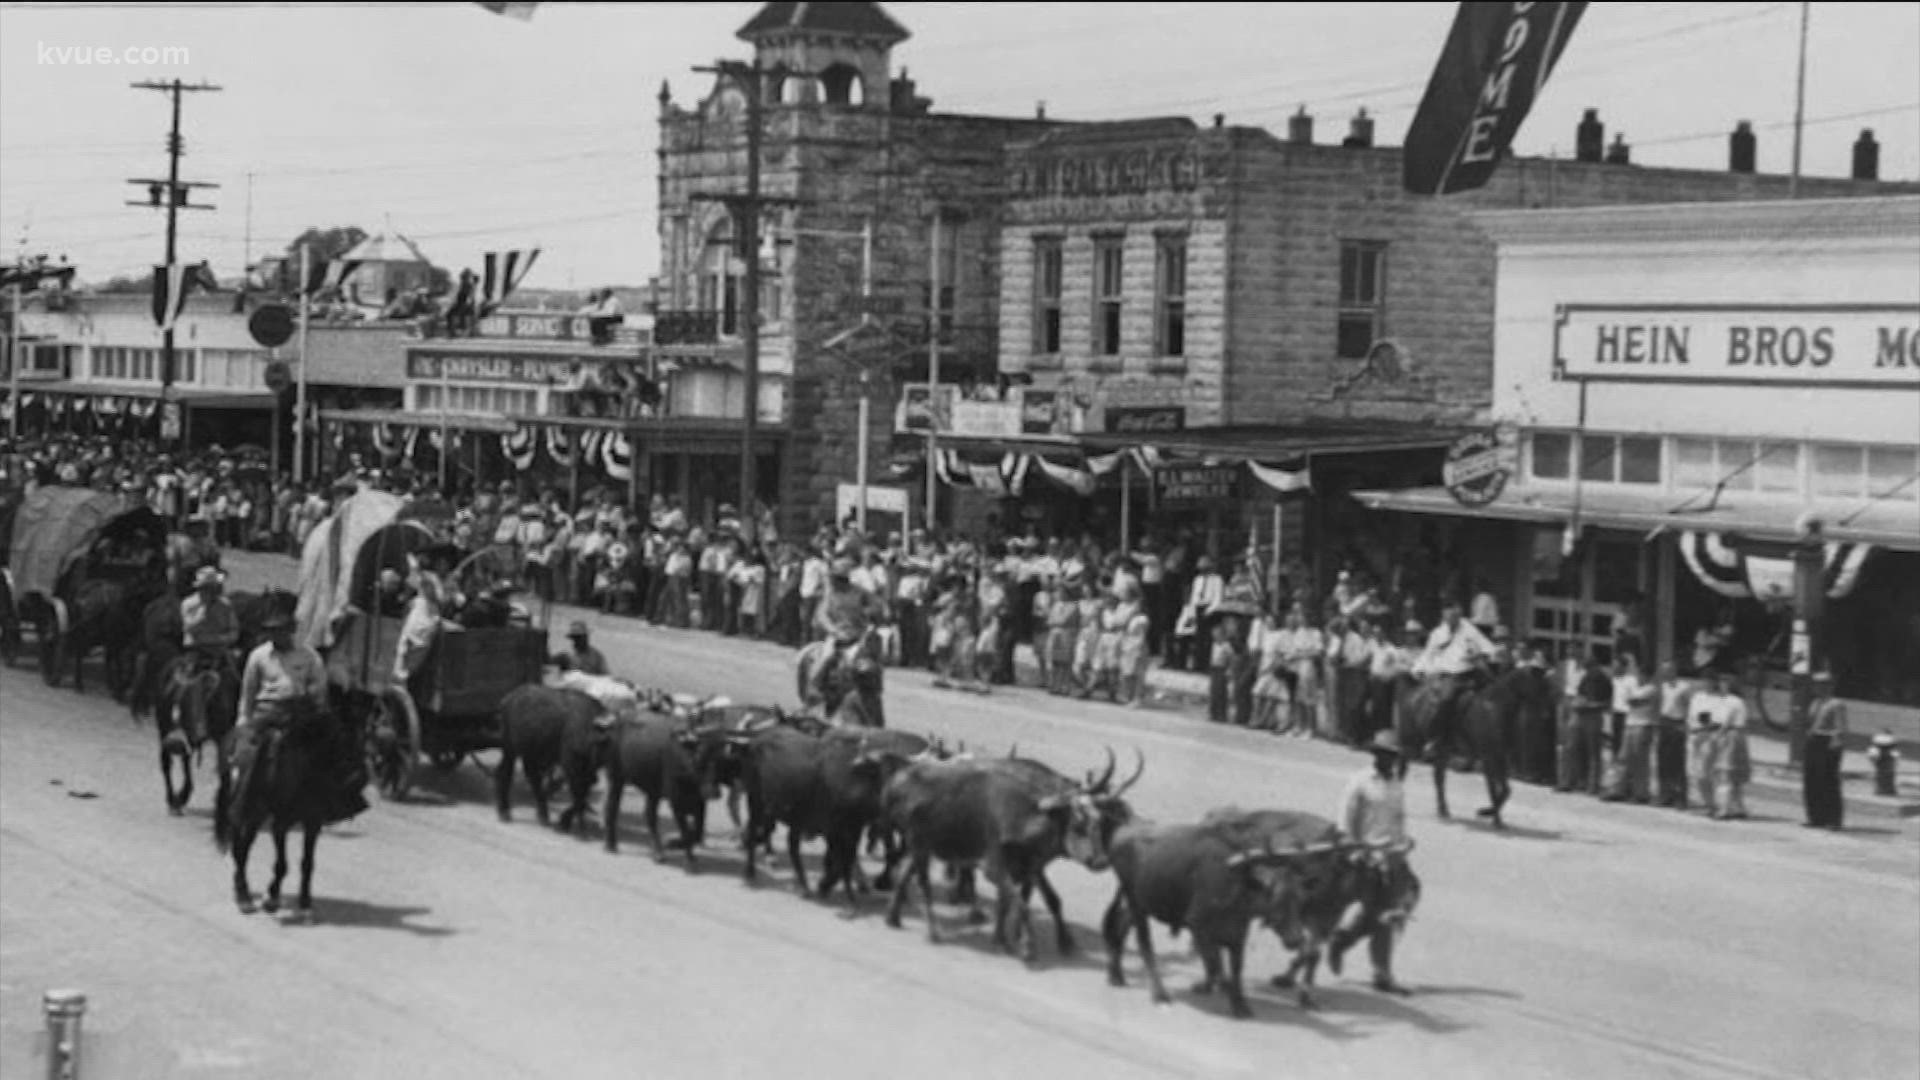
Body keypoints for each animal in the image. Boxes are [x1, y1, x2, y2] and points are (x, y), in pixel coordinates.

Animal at [215, 699, 341, 914]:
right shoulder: (280, 822)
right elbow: (282, 864)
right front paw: (272, 899)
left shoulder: (312, 821)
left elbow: (307, 862)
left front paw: (305, 902)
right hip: (251, 813)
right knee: (240, 848)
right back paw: (243, 895)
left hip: (255, 813)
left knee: (243, 845)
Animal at [1397, 661, 1559, 826]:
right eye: (1541, 685)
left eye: (1547, 686)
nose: (1547, 715)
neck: (1494, 709)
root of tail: (1414, 692)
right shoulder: (1488, 756)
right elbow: (1492, 788)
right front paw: (1495, 819)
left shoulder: (1500, 756)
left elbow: (1506, 790)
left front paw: (1487, 812)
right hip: (1411, 740)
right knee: (1404, 764)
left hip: (1443, 749)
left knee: (1438, 777)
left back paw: (1443, 811)